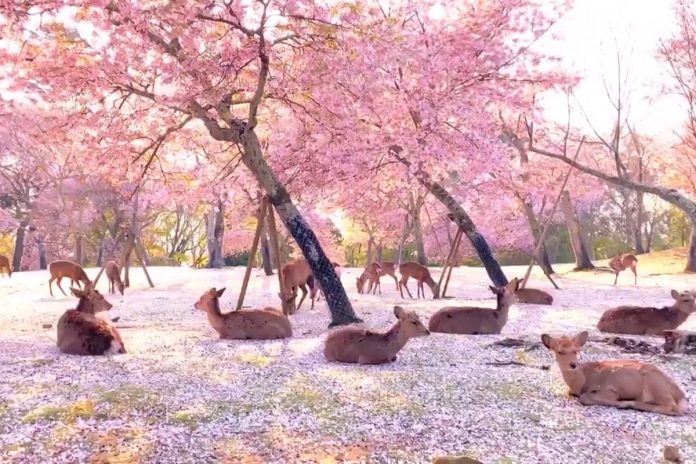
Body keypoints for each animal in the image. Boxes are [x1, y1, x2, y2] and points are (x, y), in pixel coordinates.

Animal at [540, 330, 688, 416]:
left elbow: (585, 397)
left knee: (673, 408)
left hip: (655, 385)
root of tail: (680, 394)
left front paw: (620, 403)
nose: (573, 364)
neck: (581, 383)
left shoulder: (610, 389)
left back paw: (631, 403)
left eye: (576, 350)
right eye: (560, 351)